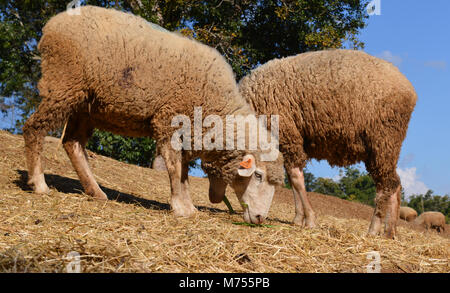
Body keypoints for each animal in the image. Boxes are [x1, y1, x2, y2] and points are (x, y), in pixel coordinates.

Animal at [22, 5, 284, 224]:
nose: (260, 218)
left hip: (85, 105)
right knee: (34, 128)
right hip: (63, 83)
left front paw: (188, 206)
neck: (215, 106)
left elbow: (184, 173)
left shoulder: (188, 133)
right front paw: (180, 207)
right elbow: (175, 168)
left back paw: (96, 191)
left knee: (72, 143)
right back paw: (39, 184)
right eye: (258, 175)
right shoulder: (169, 120)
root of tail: (52, 24)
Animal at [239, 49, 418, 236]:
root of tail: (409, 90)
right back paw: (390, 232)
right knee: (396, 184)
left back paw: (373, 229)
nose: (254, 218)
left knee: (386, 185)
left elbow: (296, 177)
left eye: (255, 176)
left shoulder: (287, 135)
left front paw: (310, 220)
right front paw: (298, 218)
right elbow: (292, 178)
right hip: (388, 145)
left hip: (383, 140)